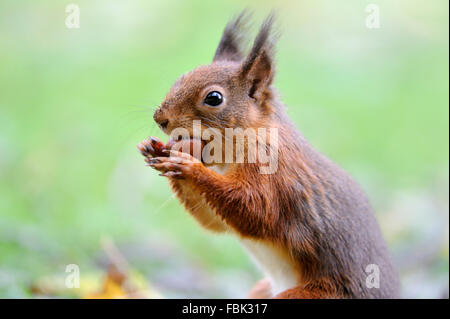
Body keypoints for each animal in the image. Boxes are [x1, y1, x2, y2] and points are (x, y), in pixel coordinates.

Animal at [136, 11, 398, 298]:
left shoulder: (275, 173)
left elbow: (255, 209)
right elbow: (213, 222)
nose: (160, 119)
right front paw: (154, 149)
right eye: (179, 78)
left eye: (214, 98)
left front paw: (189, 167)